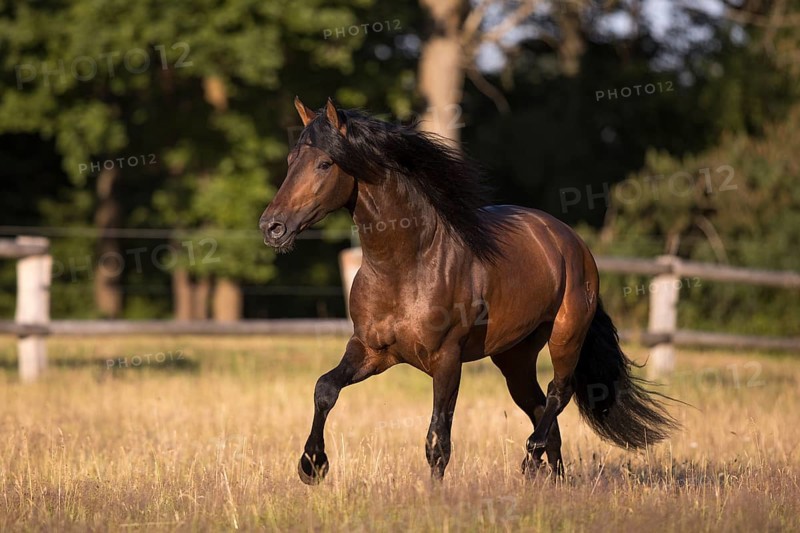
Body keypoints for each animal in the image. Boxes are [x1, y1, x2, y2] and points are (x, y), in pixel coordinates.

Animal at [260, 97, 677, 484]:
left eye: (325, 164)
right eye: (291, 159)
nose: (272, 227)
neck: (406, 264)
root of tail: (571, 242)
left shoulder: (447, 359)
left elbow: (437, 440)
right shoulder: (372, 351)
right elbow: (325, 388)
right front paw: (312, 466)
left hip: (565, 336)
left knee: (560, 392)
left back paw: (529, 462)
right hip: (514, 359)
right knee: (542, 410)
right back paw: (553, 481)